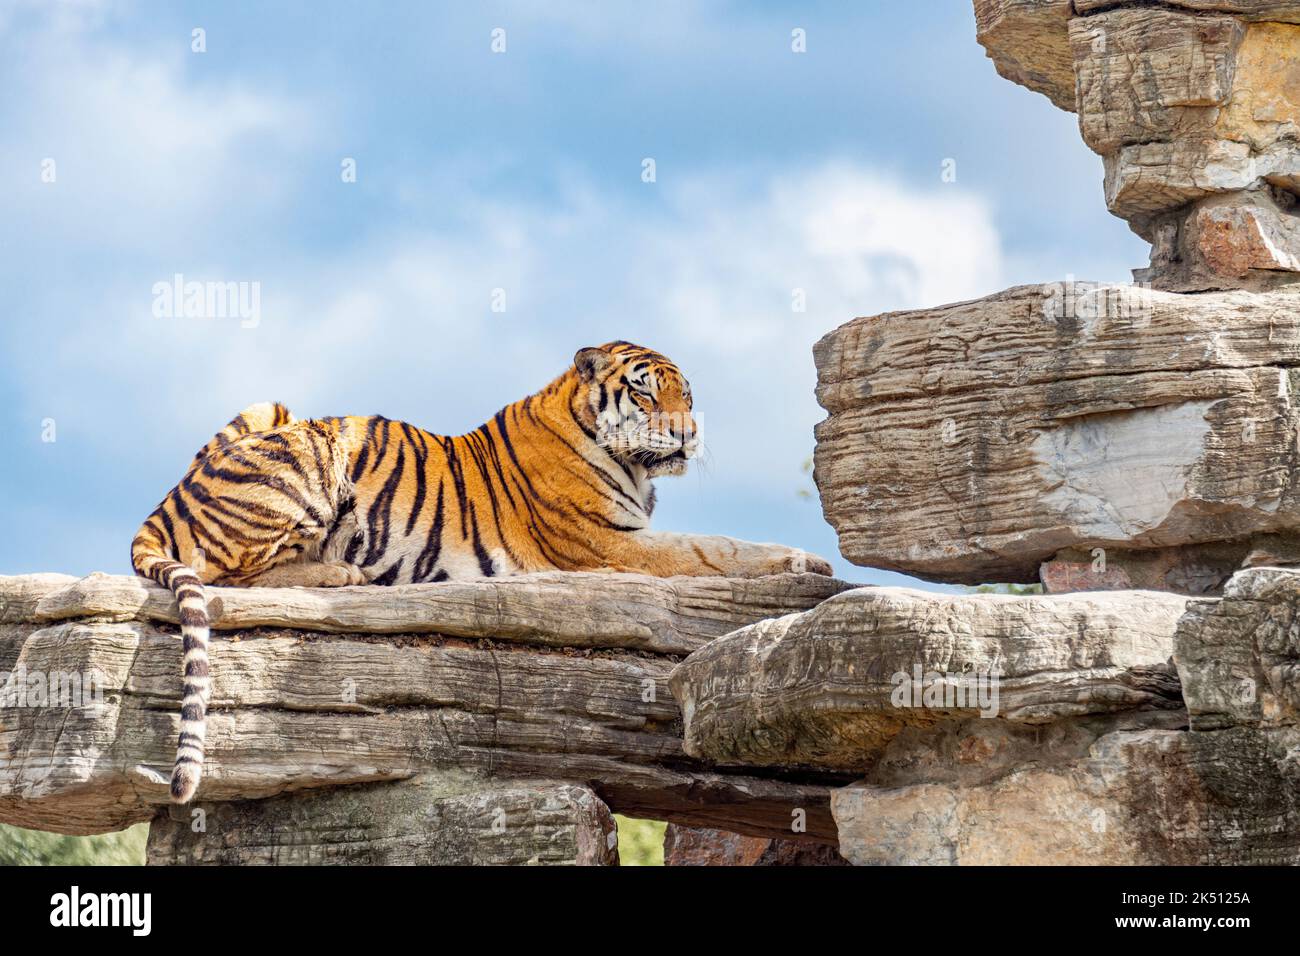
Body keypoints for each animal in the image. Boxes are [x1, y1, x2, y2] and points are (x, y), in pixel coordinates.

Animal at [129, 340, 832, 806]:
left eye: (688, 395)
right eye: (643, 390)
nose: (688, 434)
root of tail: (164, 506)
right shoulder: (613, 544)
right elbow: (713, 549)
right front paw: (803, 559)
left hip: (266, 408)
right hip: (308, 453)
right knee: (228, 579)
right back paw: (339, 578)